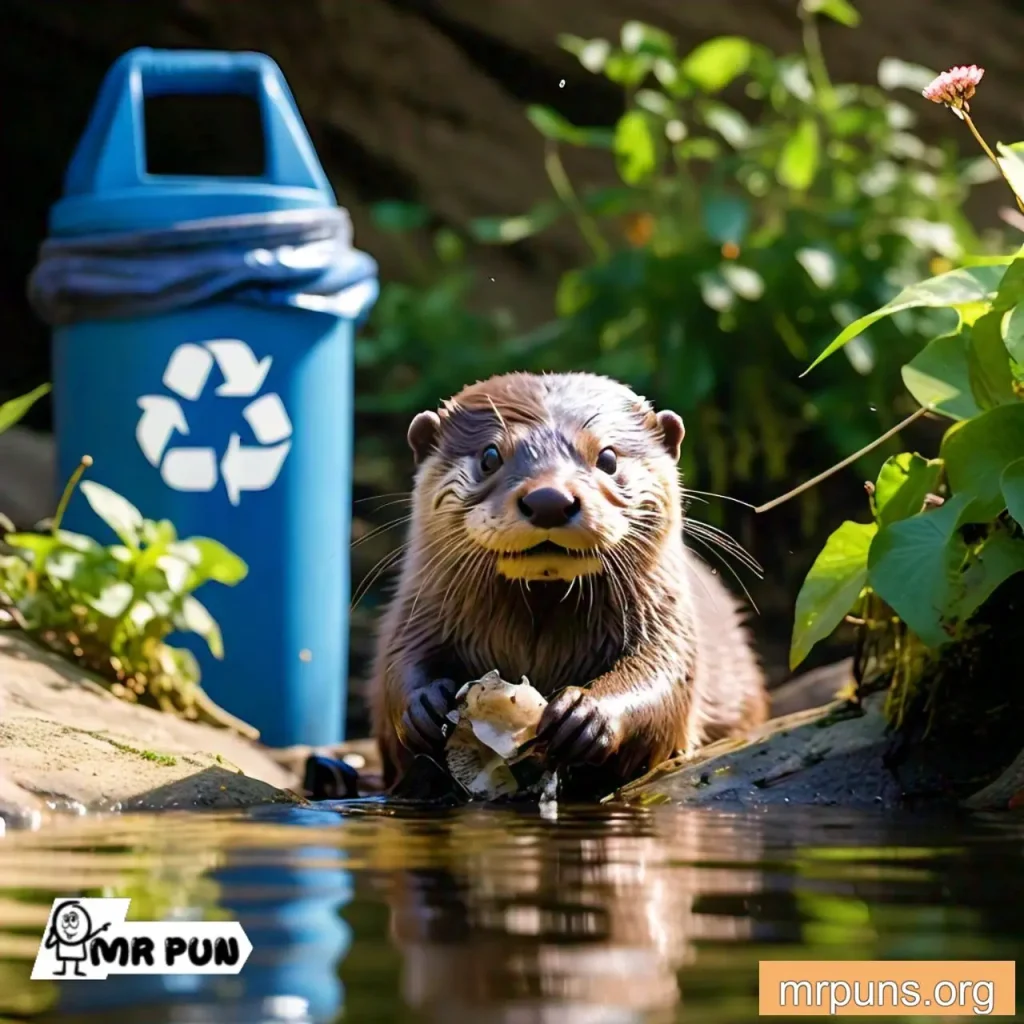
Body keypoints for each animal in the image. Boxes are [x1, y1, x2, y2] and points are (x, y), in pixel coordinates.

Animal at [370, 372, 770, 794]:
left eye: (608, 458)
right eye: (489, 456)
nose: (549, 499)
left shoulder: (668, 624)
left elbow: (664, 678)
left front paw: (586, 714)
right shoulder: (415, 616)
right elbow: (398, 665)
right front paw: (424, 704)